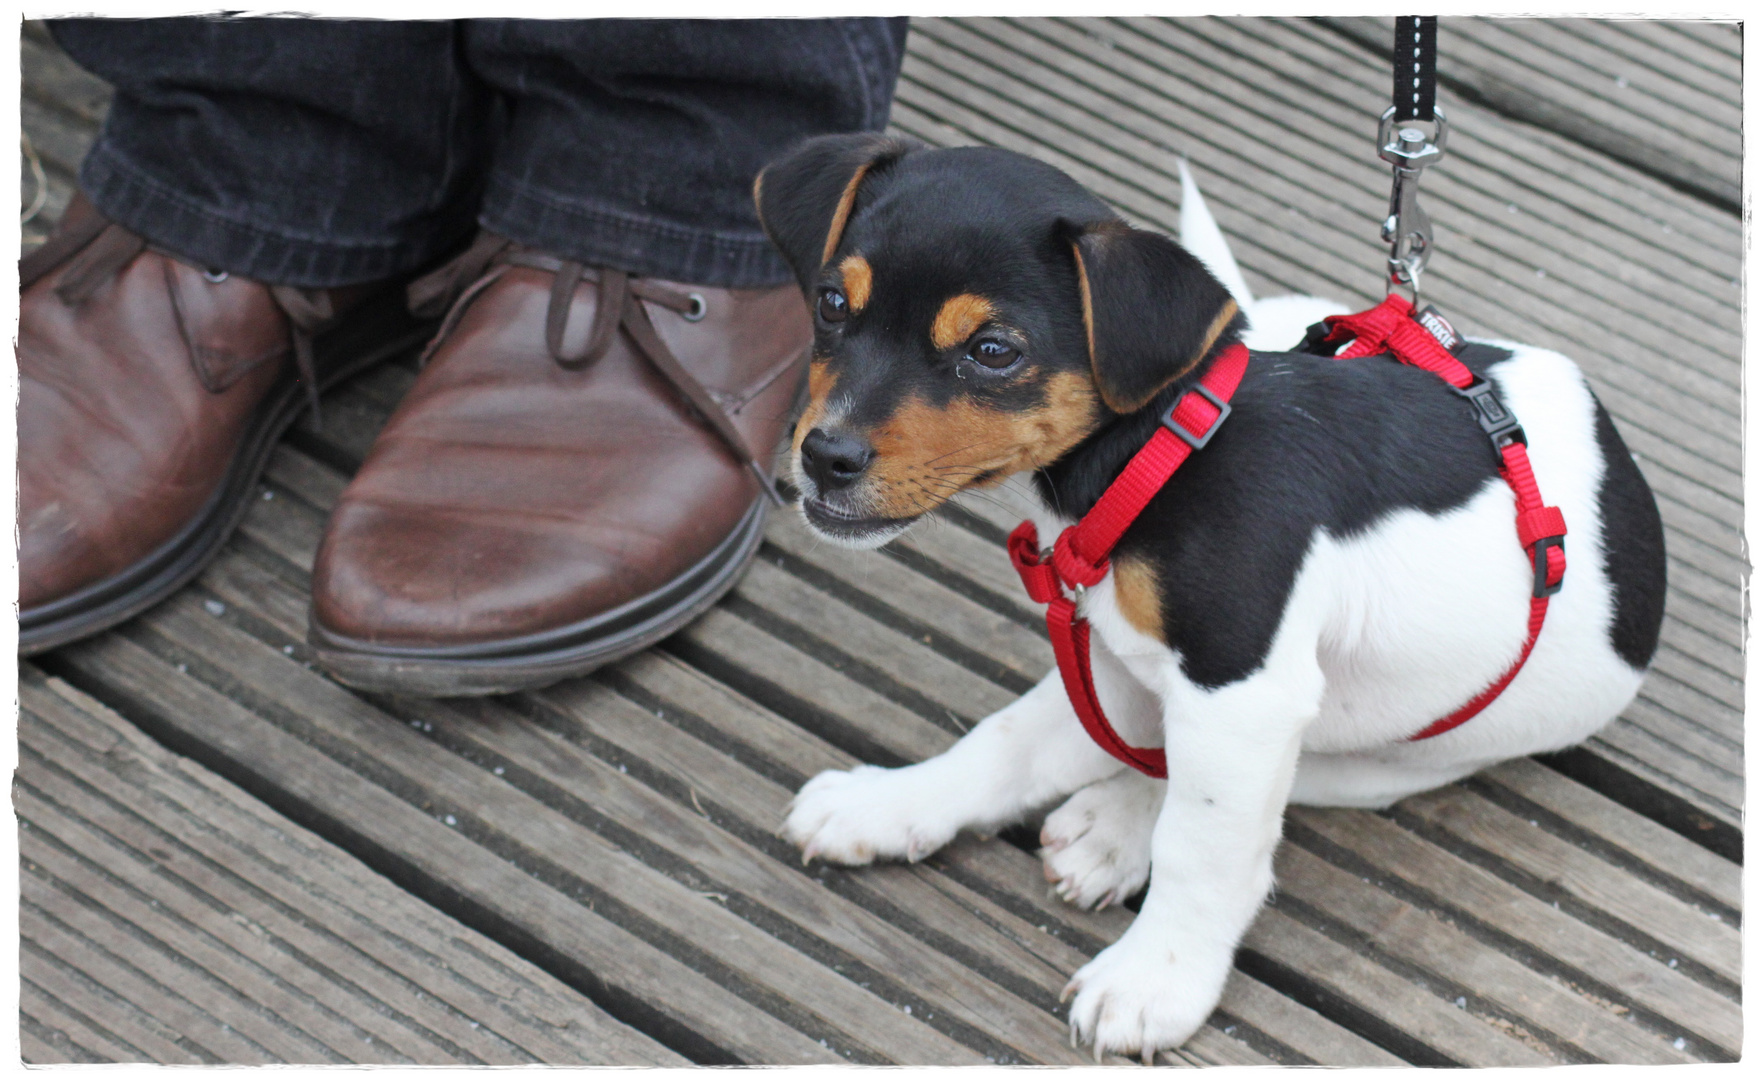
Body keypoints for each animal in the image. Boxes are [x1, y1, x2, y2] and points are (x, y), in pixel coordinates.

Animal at [757, 130, 1663, 1057]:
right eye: (831, 303)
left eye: (993, 351)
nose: (825, 456)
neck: (1170, 447)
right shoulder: (1106, 646)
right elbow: (1004, 740)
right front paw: (890, 803)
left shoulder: (1244, 693)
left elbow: (1204, 847)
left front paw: (1155, 981)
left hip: (1384, 751)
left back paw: (1120, 828)